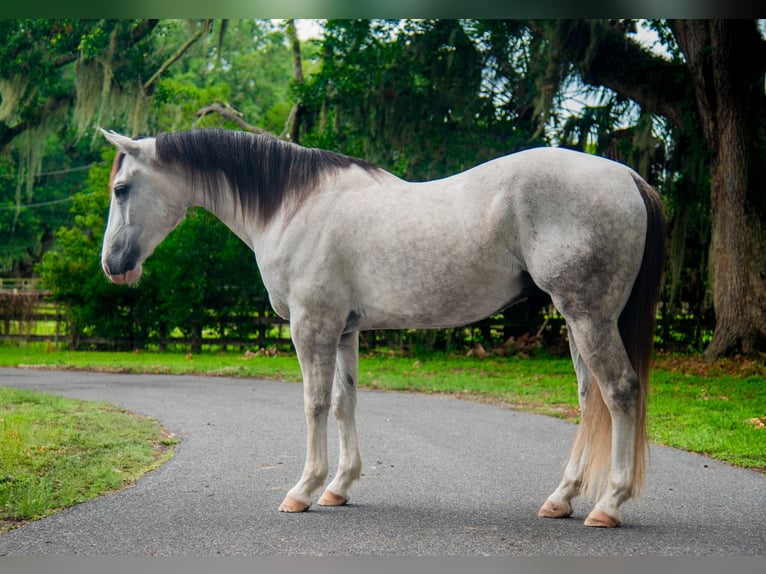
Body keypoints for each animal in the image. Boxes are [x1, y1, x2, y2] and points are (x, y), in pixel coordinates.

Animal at [99, 127, 665, 528]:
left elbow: (314, 403)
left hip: (589, 316)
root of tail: (626, 177)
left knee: (620, 392)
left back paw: (608, 505)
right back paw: (561, 499)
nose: (112, 265)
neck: (294, 205)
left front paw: (303, 490)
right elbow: (344, 402)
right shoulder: (344, 331)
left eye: (122, 189)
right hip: (576, 320)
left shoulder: (312, 326)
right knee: (590, 401)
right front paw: (339, 487)